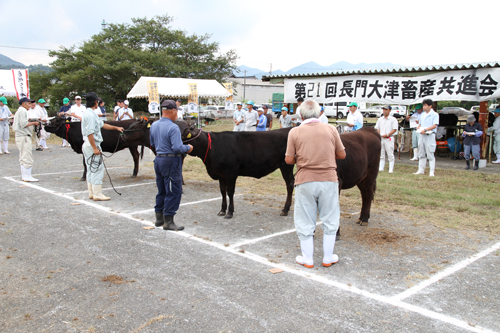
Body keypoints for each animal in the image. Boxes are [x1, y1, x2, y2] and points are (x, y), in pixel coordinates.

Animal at [175, 119, 378, 223]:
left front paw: (230, 212)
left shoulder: (231, 172)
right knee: (291, 185)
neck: (211, 149)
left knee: (290, 185)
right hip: (285, 165)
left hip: (286, 165)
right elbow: (222, 192)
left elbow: (231, 192)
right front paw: (222, 209)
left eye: (184, 134)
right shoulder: (220, 175)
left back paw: (286, 209)